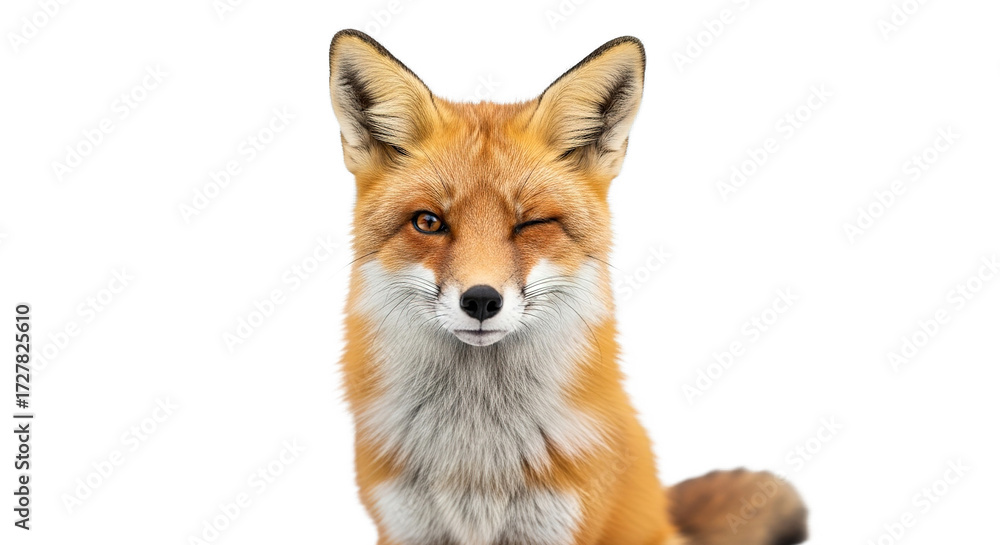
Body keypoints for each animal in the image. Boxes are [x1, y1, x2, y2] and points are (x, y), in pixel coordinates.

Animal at [328, 29, 808, 545]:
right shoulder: (405, 527)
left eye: (532, 223)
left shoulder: (558, 524)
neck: (477, 462)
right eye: (428, 222)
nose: (481, 300)